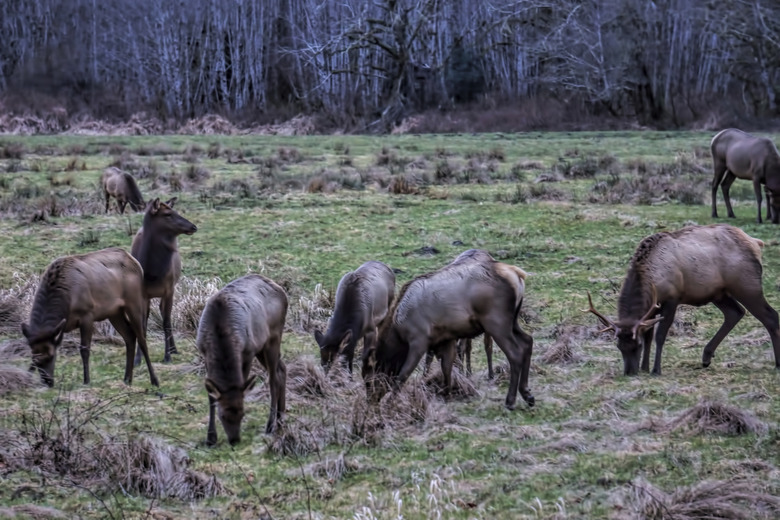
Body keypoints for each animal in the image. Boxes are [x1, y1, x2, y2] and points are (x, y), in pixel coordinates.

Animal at [21, 249, 159, 390]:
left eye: (52, 355)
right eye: (35, 359)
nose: (47, 382)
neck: (67, 302)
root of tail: (136, 263)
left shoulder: (87, 314)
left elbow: (85, 350)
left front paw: (86, 380)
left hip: (135, 302)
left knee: (142, 339)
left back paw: (154, 380)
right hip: (115, 312)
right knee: (130, 336)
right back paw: (127, 379)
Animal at [132, 197, 198, 364]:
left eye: (175, 210)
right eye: (168, 214)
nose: (193, 226)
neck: (151, 272)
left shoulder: (169, 289)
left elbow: (166, 322)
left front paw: (167, 356)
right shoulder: (142, 293)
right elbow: (142, 324)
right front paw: (138, 358)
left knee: (166, 316)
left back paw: (174, 349)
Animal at [197, 272, 288, 446]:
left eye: (243, 413)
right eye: (222, 415)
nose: (235, 440)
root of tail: (282, 291)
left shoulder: (248, 352)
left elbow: (242, 384)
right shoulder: (204, 354)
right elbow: (211, 396)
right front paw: (210, 437)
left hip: (273, 337)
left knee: (273, 379)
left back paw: (270, 425)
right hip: (262, 347)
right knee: (282, 369)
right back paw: (281, 420)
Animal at [362, 249, 532, 410]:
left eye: (368, 379)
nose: (370, 402)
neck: (399, 333)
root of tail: (517, 274)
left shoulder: (419, 339)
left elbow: (403, 374)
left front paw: (390, 404)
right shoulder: (445, 338)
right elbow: (447, 368)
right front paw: (447, 395)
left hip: (496, 321)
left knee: (515, 353)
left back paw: (510, 400)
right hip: (512, 321)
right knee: (527, 341)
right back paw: (527, 393)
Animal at [584, 225, 780, 376]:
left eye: (636, 346)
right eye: (619, 346)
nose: (629, 372)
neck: (653, 279)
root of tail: (756, 242)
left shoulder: (672, 298)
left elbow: (660, 335)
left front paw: (656, 370)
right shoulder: (652, 308)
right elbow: (648, 335)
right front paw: (645, 367)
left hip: (746, 285)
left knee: (770, 315)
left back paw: (777, 364)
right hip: (719, 293)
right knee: (735, 313)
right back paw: (706, 357)